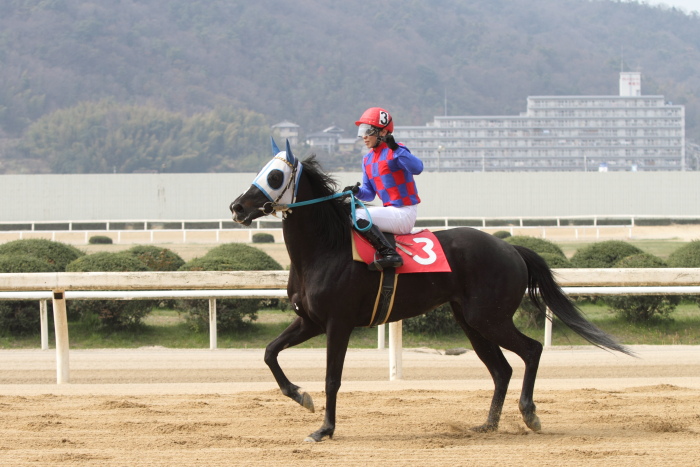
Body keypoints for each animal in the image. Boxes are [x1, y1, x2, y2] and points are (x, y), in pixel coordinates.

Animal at [231, 142, 636, 442]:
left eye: (275, 175)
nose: (236, 206)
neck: (326, 249)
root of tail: (510, 248)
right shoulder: (311, 321)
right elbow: (269, 353)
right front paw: (301, 396)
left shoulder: (337, 323)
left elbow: (333, 378)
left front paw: (324, 430)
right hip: (471, 321)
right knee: (501, 369)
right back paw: (487, 424)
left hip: (488, 317)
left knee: (532, 350)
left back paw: (529, 414)